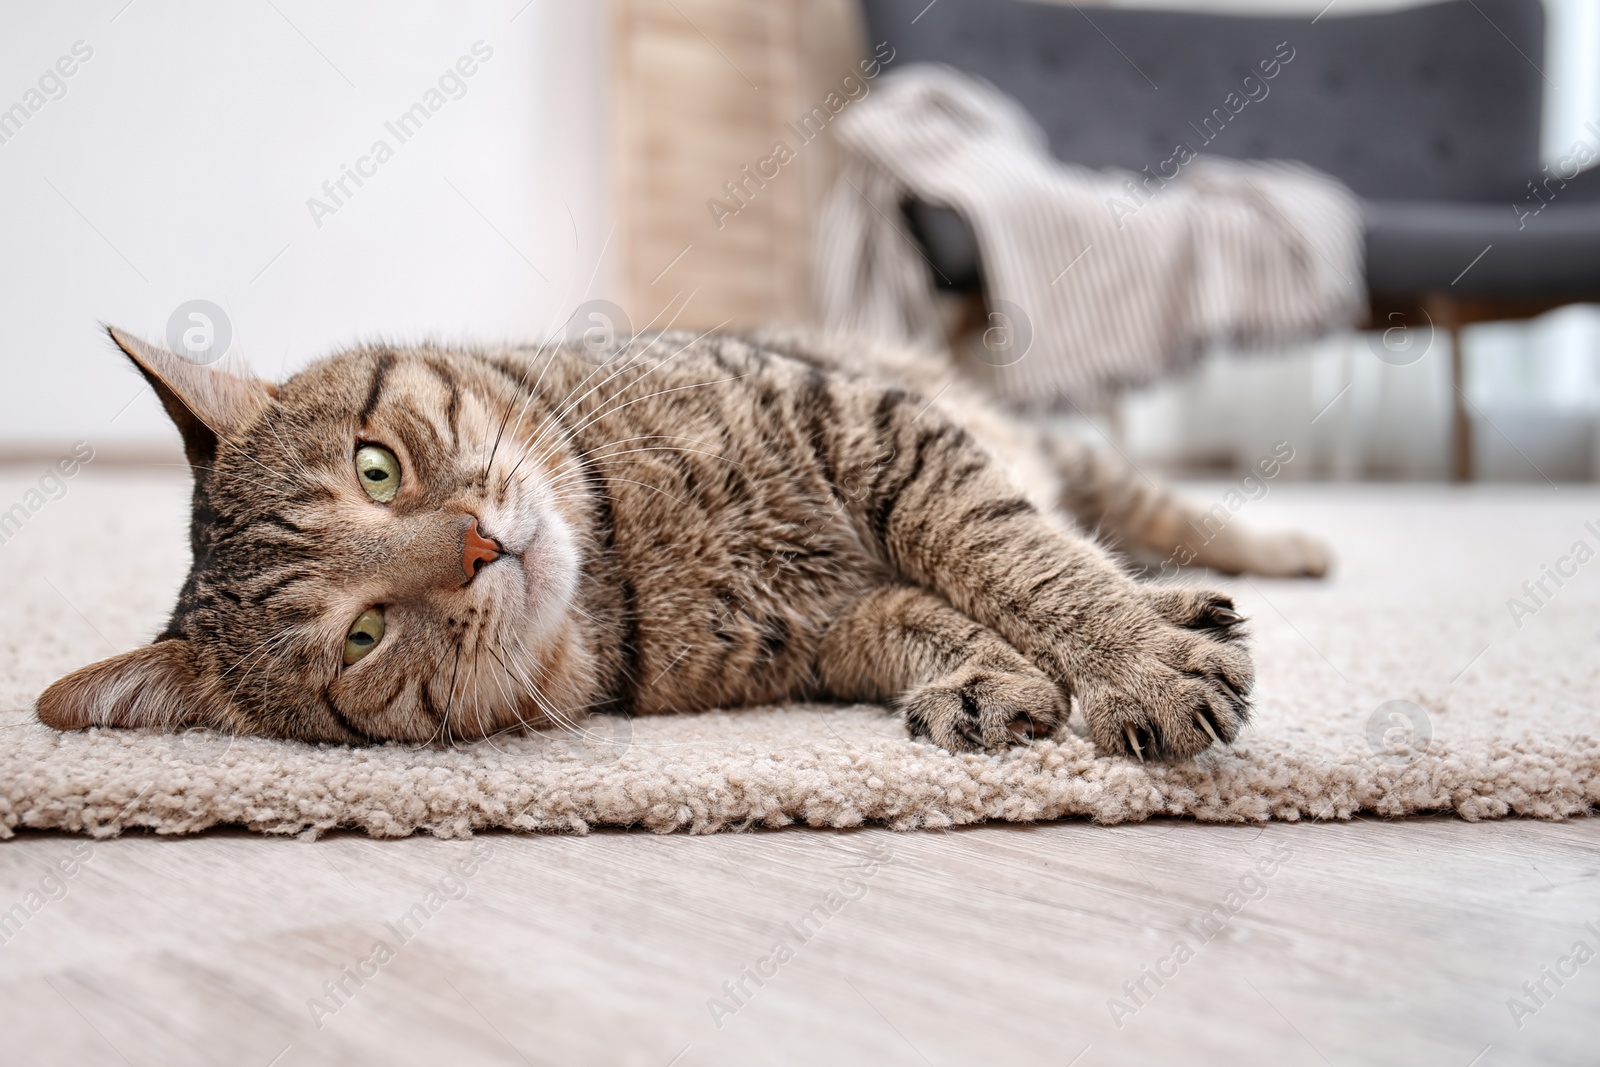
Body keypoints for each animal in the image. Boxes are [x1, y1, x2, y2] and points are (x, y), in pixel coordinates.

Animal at [34, 326, 1324, 758]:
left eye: (375, 467)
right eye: (361, 636)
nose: (478, 547)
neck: (625, 555)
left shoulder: (877, 431)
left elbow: (1018, 559)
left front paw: (1132, 658)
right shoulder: (829, 630)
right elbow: (933, 614)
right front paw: (987, 678)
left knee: (1114, 509)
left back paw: (1268, 557)